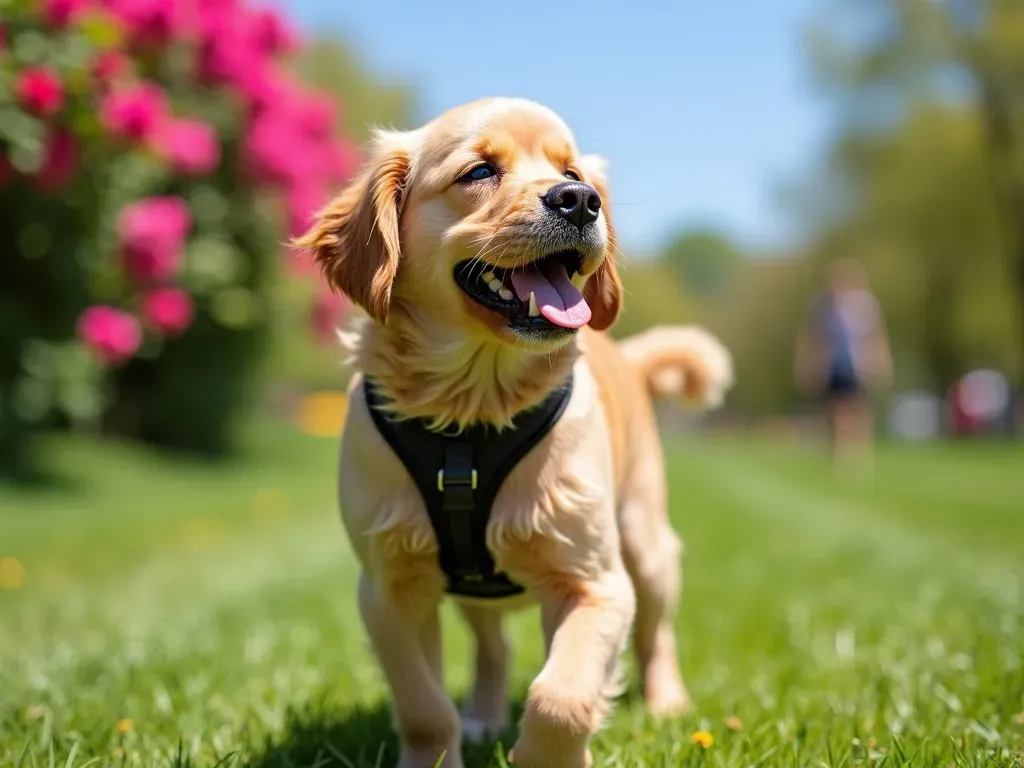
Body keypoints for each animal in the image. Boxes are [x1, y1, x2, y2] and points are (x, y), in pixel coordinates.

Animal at [296, 97, 737, 768]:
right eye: (479, 171)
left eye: (572, 170)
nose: (580, 200)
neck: (471, 413)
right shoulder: (386, 590)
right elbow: (423, 706)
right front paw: (438, 752)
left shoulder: (596, 582)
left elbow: (561, 697)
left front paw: (546, 754)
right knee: (493, 646)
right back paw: (481, 716)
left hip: (646, 545)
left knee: (656, 634)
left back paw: (667, 705)